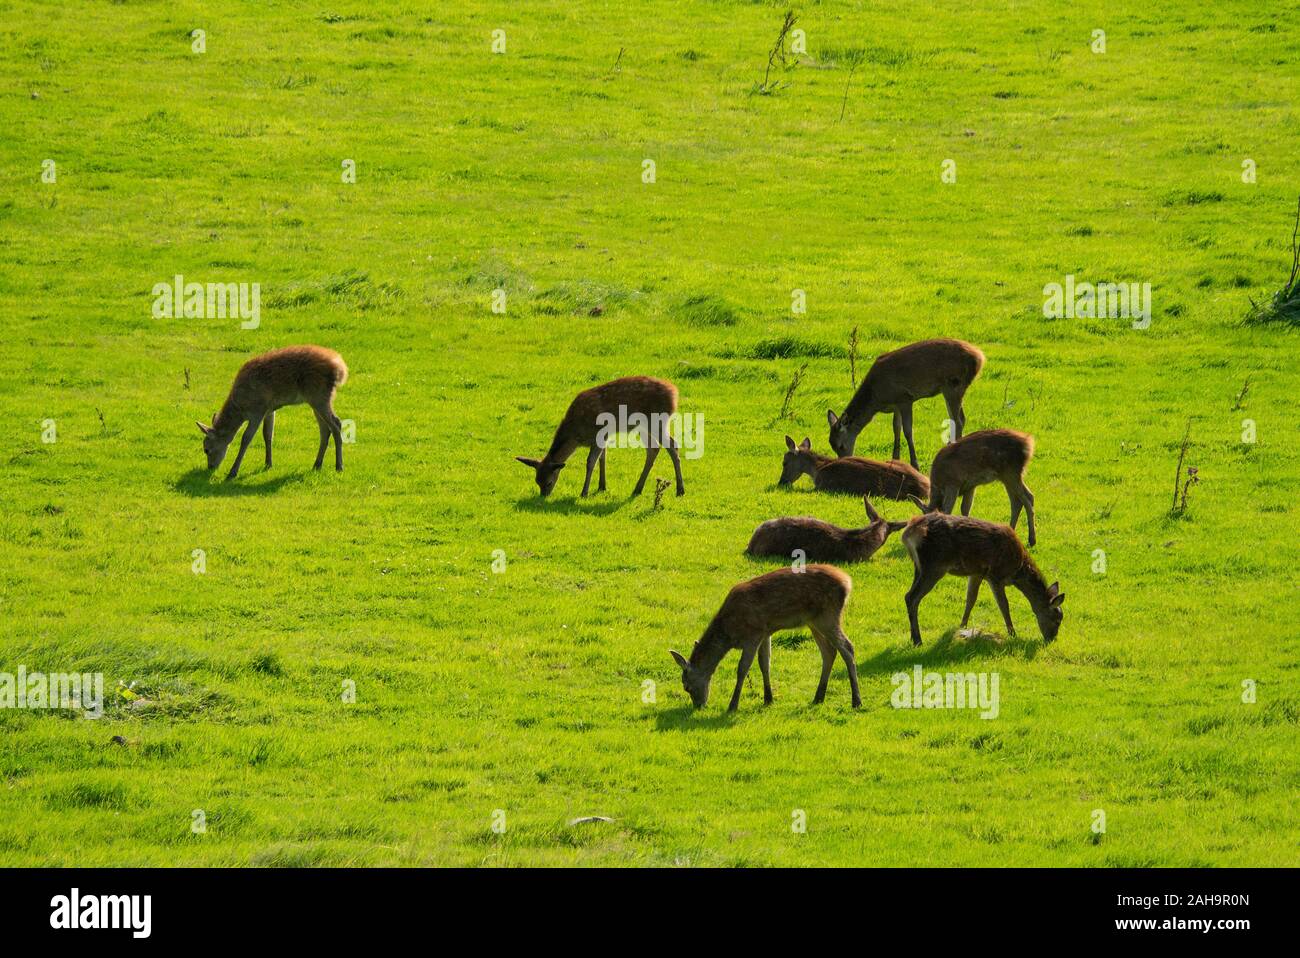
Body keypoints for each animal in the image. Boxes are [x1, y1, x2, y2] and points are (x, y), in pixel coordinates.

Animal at [196, 345, 348, 479]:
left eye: (206, 449)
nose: (210, 467)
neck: (241, 408)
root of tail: (341, 368)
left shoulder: (257, 410)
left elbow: (246, 438)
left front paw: (232, 472)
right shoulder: (269, 410)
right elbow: (268, 435)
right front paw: (268, 464)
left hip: (319, 395)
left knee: (337, 423)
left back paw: (339, 466)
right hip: (315, 399)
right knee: (325, 429)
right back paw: (317, 465)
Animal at [515, 376, 684, 498]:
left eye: (549, 482)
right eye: (537, 481)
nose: (543, 496)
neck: (577, 434)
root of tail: (675, 393)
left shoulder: (600, 432)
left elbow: (591, 462)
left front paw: (584, 492)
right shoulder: (603, 436)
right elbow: (602, 458)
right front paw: (602, 486)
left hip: (657, 420)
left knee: (673, 445)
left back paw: (680, 490)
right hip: (643, 426)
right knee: (653, 449)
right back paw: (637, 489)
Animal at [669, 565, 860, 711]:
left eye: (686, 686)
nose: (699, 706)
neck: (730, 632)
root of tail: (847, 582)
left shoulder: (753, 634)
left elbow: (743, 669)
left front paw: (732, 705)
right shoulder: (765, 632)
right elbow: (765, 664)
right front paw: (768, 699)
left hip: (828, 616)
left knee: (848, 648)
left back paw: (856, 701)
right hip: (814, 622)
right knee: (829, 652)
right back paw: (818, 697)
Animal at [827, 338, 985, 468]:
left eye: (841, 446)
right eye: (832, 445)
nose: (844, 460)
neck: (877, 397)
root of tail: (980, 358)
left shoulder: (905, 398)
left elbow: (908, 431)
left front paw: (915, 464)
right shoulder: (896, 405)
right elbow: (896, 429)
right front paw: (894, 459)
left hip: (953, 385)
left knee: (958, 420)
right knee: (960, 418)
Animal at [899, 511, 1064, 647]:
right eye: (1057, 619)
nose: (1051, 639)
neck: (1018, 570)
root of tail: (908, 532)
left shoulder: (977, 573)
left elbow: (970, 600)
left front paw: (962, 627)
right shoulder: (995, 575)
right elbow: (1004, 606)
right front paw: (1013, 634)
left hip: (918, 566)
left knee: (909, 596)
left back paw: (913, 638)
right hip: (934, 565)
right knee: (912, 597)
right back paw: (918, 640)